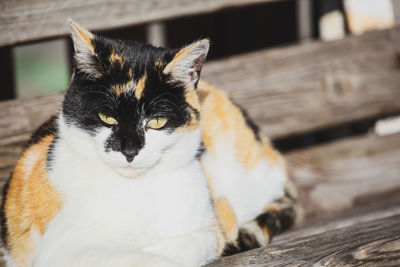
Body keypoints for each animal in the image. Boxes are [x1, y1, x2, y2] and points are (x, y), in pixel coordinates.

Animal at [0, 19, 294, 266]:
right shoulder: (61, 252)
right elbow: (128, 257)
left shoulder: (210, 227)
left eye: (156, 122)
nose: (129, 151)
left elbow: (197, 240)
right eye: (107, 117)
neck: (137, 190)